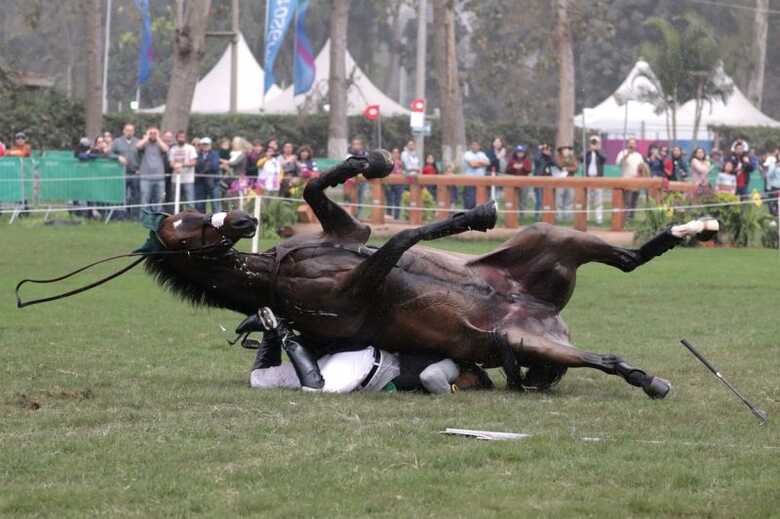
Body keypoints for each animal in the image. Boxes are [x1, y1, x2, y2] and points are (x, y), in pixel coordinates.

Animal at [140, 150, 717, 397]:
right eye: (178, 225)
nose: (243, 219)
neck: (275, 274)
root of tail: (550, 318)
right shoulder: (362, 283)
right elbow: (402, 238)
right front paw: (471, 215)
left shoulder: (348, 233)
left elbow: (316, 189)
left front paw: (369, 162)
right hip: (526, 341)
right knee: (608, 356)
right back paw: (649, 381)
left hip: (549, 239)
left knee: (628, 259)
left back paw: (695, 226)